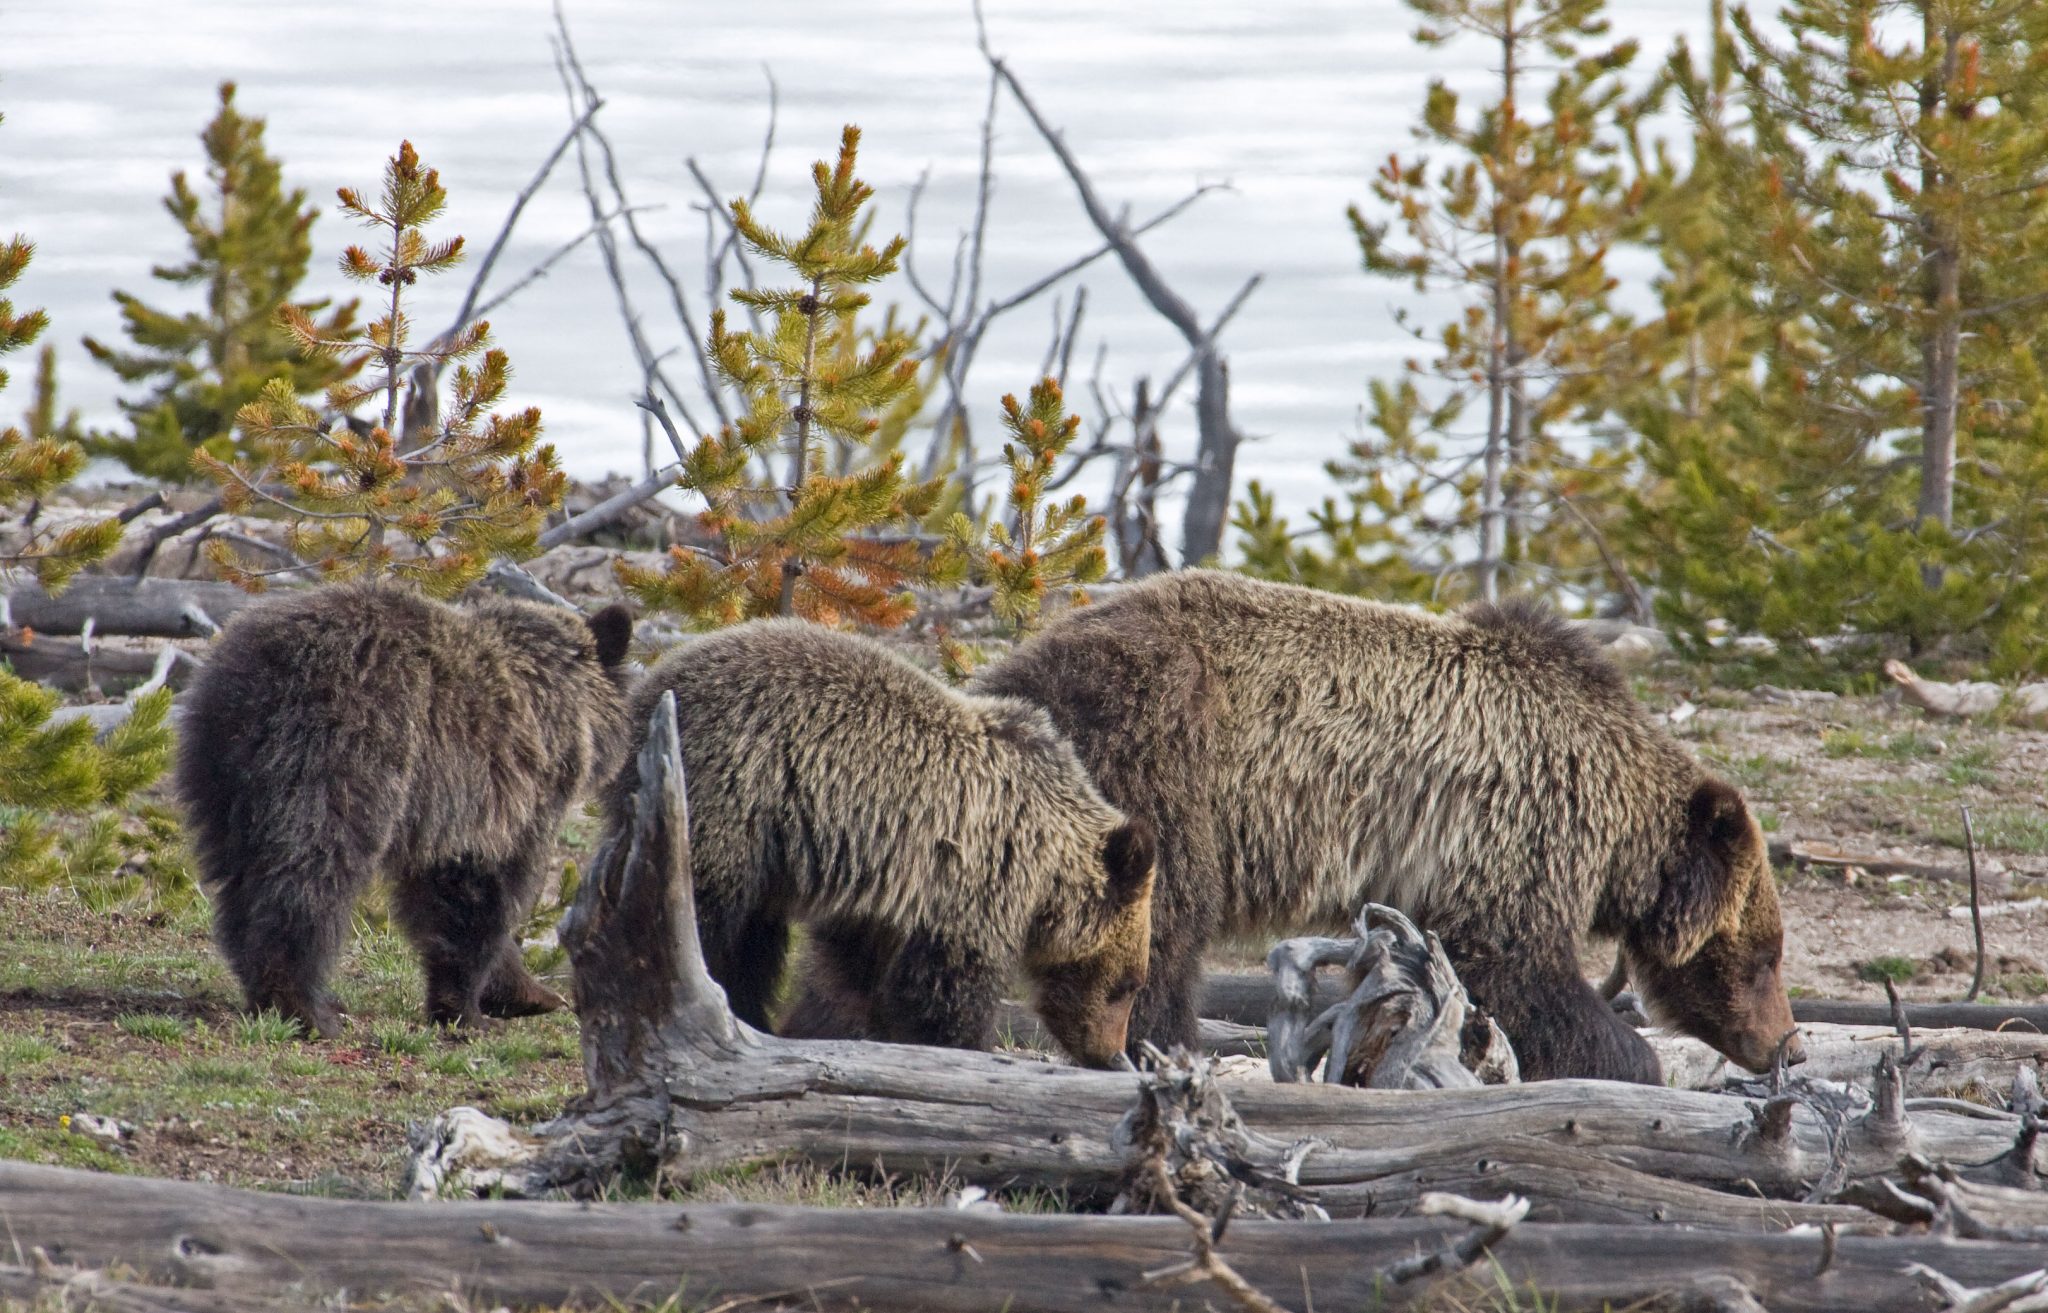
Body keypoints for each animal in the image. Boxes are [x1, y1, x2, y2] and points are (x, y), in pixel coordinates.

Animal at [177, 581, 630, 1032]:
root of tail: (256, 668)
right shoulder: (496, 794)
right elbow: (476, 896)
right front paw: (469, 1010)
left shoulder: (447, 807)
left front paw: (526, 992)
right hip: (342, 751)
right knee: (310, 872)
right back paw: (305, 1006)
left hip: (223, 774)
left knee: (237, 874)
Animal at [602, 618, 1155, 1065]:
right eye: (1126, 985)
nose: (1112, 1054)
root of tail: (648, 691)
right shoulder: (972, 875)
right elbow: (942, 989)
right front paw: (959, 1045)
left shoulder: (886, 894)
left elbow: (856, 974)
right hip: (729, 797)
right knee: (709, 919)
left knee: (751, 939)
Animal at [954, 569, 1794, 1081]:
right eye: (1764, 957)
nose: (1784, 1040)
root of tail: (1019, 670)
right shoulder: (1516, 827)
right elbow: (1524, 972)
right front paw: (1627, 1057)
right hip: (1161, 756)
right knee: (1159, 921)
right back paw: (1157, 1038)